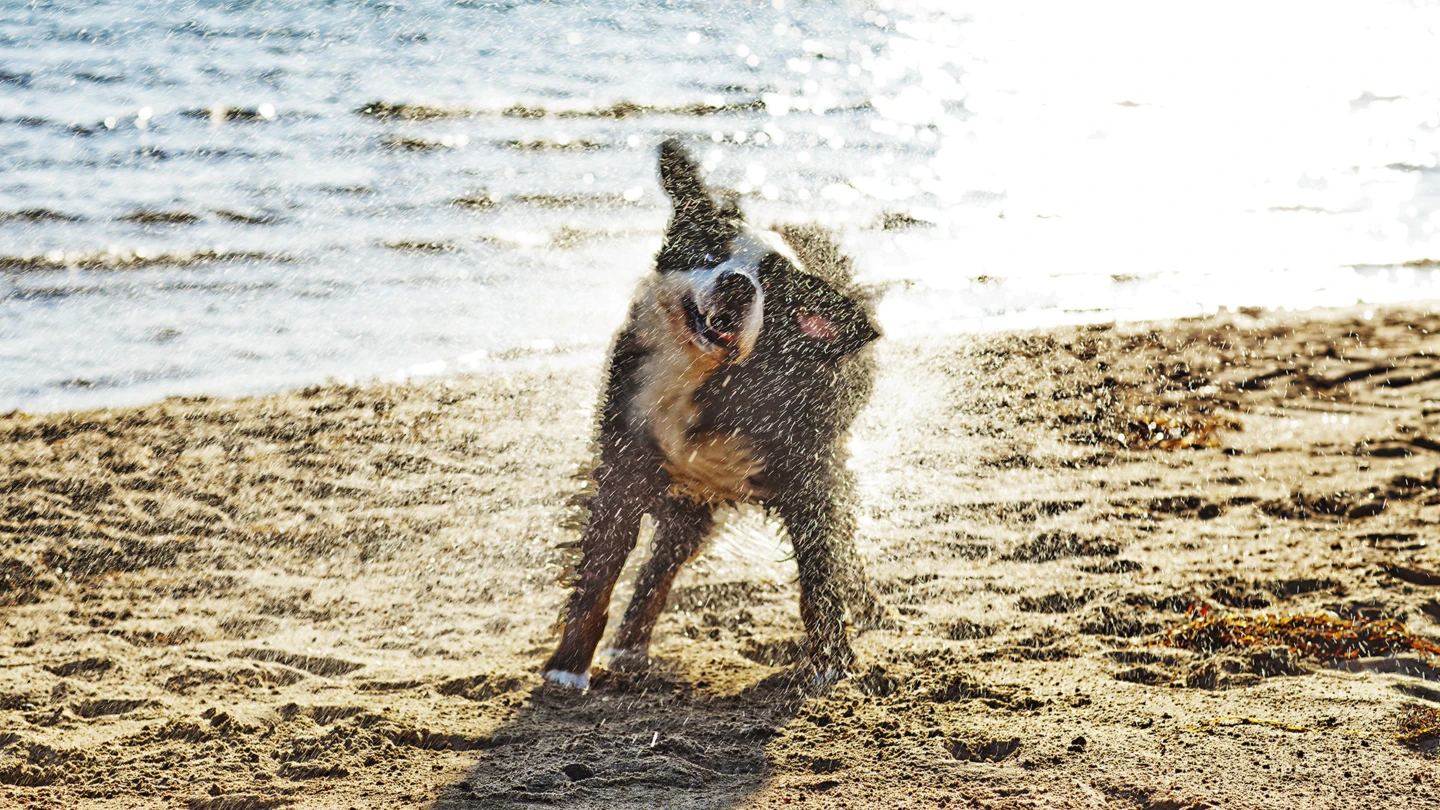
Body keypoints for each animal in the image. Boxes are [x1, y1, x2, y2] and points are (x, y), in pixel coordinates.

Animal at [541, 138, 875, 686]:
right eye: (711, 252)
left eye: (773, 287)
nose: (739, 285)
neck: (703, 378)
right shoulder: (625, 465)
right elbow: (599, 577)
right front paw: (568, 667)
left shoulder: (807, 472)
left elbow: (821, 573)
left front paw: (830, 663)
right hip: (688, 501)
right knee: (661, 567)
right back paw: (631, 643)